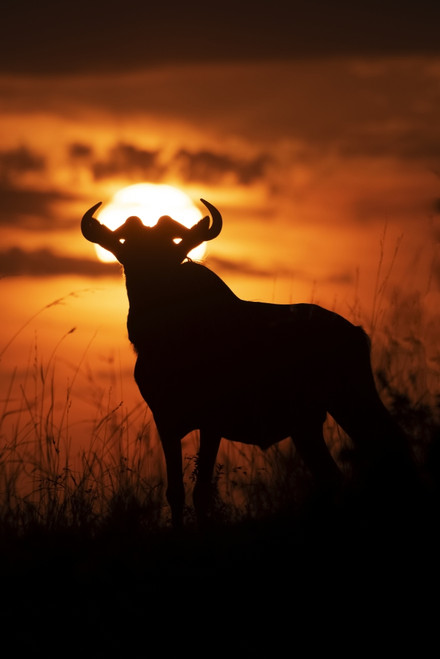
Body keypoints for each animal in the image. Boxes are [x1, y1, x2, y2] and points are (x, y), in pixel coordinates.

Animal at [82, 199, 411, 527]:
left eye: (169, 252)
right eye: (129, 252)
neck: (172, 340)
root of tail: (356, 333)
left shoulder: (211, 422)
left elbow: (202, 491)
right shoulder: (166, 421)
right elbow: (175, 492)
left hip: (350, 399)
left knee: (390, 446)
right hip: (309, 423)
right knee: (334, 474)